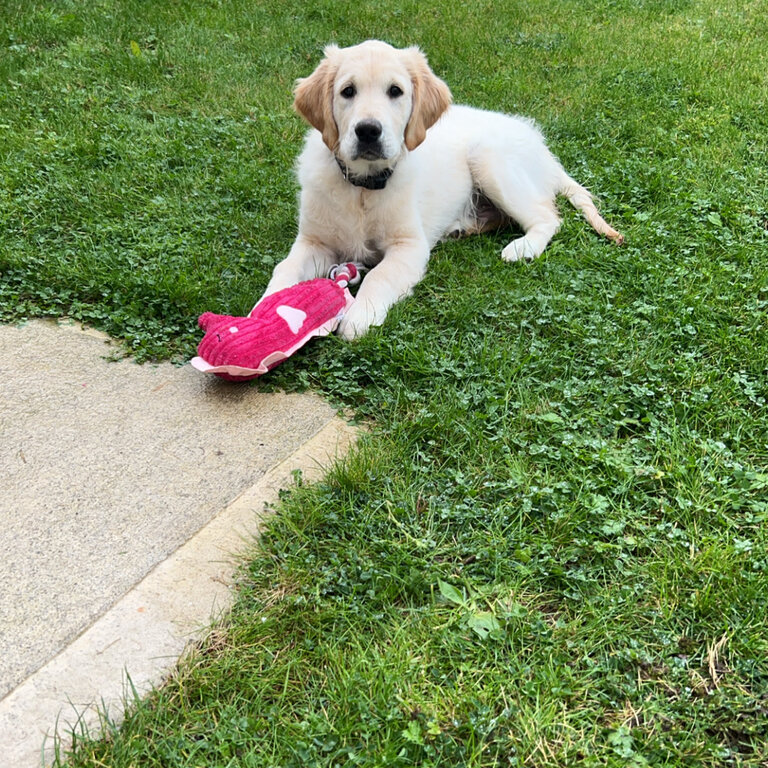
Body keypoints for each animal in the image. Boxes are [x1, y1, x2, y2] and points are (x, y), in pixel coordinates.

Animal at [266, 40, 624, 338]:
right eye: (347, 91)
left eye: (395, 91)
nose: (368, 131)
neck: (364, 186)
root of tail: (540, 145)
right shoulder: (314, 241)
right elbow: (284, 270)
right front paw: (266, 316)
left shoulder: (409, 246)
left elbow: (379, 275)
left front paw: (359, 316)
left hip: (489, 158)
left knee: (548, 217)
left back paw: (523, 247)